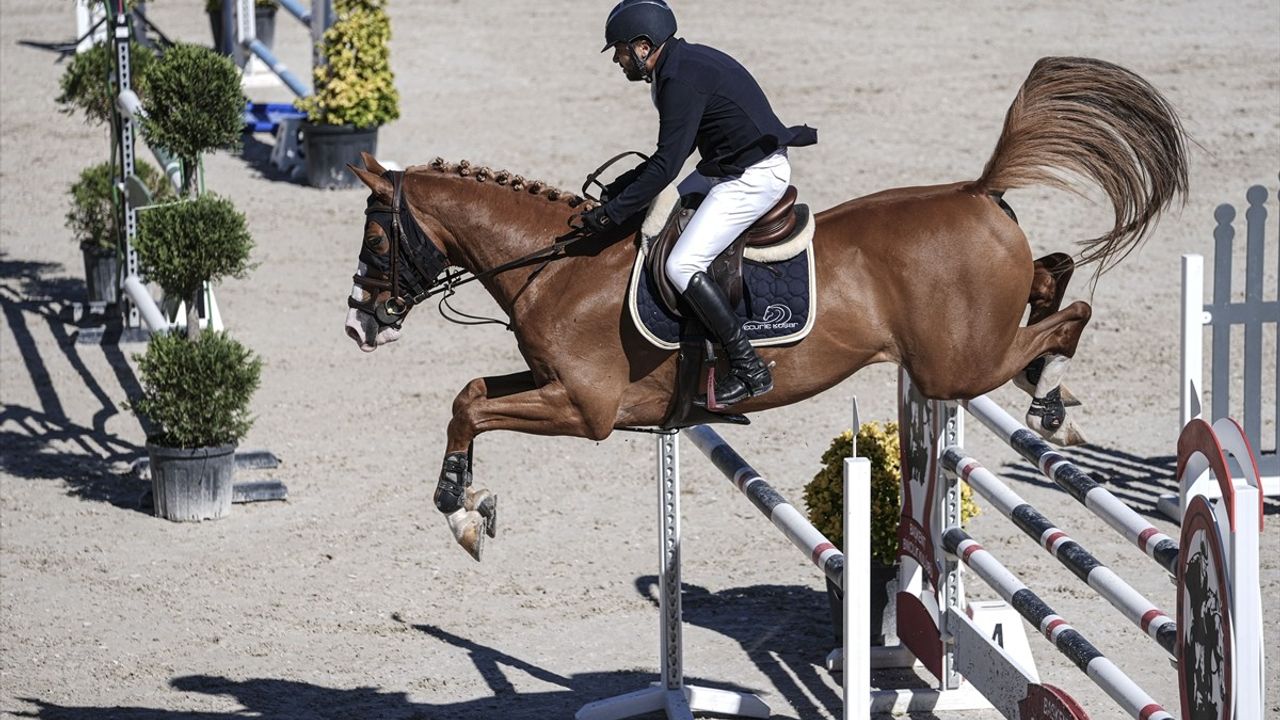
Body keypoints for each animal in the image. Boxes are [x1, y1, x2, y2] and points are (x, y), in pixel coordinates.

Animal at [343, 57, 1187, 561]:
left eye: (377, 238)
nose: (358, 323)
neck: (558, 267)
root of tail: (976, 191)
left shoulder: (586, 408)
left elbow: (477, 409)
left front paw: (457, 508)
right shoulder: (553, 386)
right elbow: (469, 398)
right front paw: (467, 506)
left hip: (956, 366)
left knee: (1065, 316)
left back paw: (1050, 402)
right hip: (967, 346)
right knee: (1053, 277)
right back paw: (1050, 383)